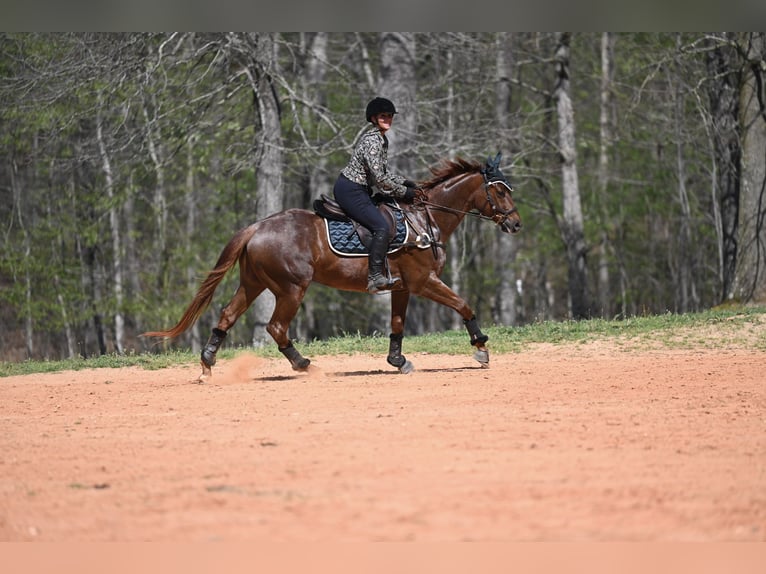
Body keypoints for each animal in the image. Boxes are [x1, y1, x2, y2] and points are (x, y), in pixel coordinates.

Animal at [142, 153, 522, 382]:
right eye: (501, 192)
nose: (516, 224)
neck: (424, 219)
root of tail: (257, 227)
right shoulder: (423, 281)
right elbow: (464, 305)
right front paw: (481, 349)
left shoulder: (402, 287)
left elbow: (397, 325)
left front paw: (398, 361)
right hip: (291, 288)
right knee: (276, 327)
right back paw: (305, 365)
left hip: (253, 283)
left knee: (227, 316)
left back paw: (207, 365)